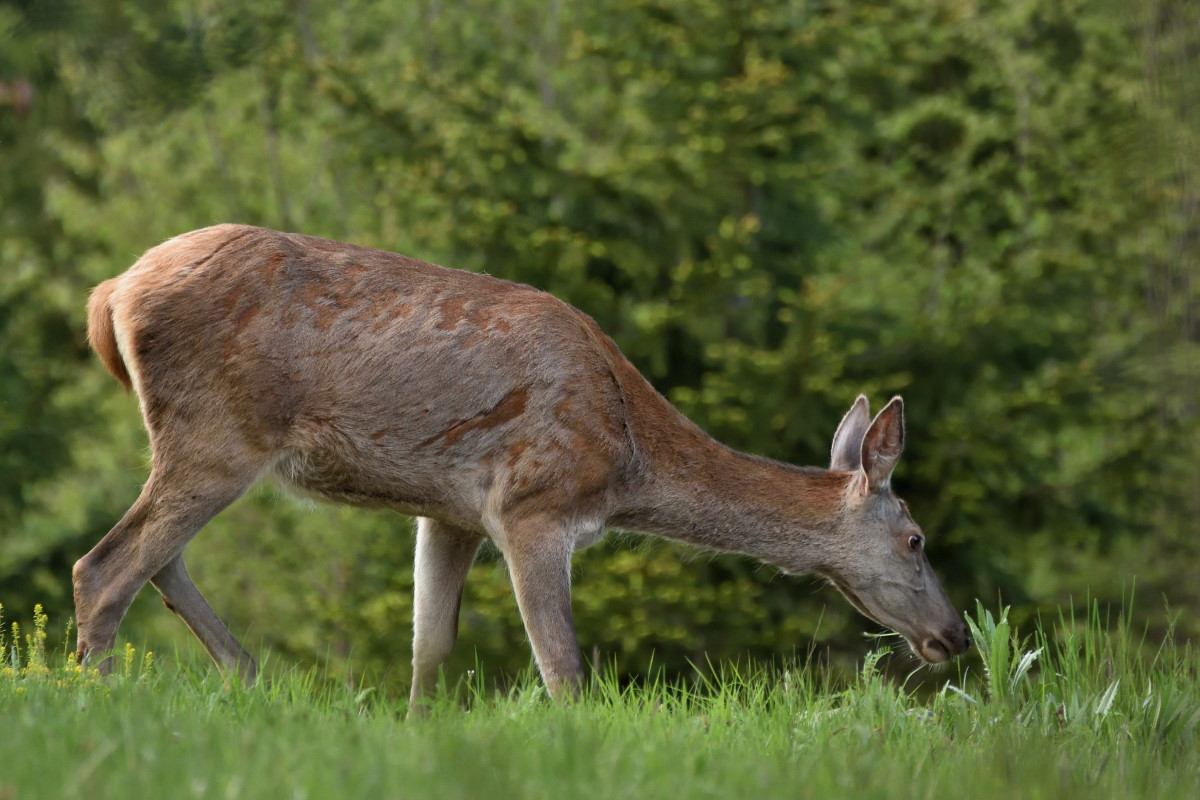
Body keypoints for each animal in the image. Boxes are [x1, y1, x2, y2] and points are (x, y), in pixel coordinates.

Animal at [75, 221, 969, 705]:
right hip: (220, 434)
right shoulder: (534, 504)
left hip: (196, 440)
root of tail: (110, 293)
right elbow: (563, 669)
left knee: (156, 560)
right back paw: (96, 698)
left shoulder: (449, 514)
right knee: (105, 567)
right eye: (917, 539)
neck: (628, 457)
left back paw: (248, 674)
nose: (957, 635)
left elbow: (431, 654)